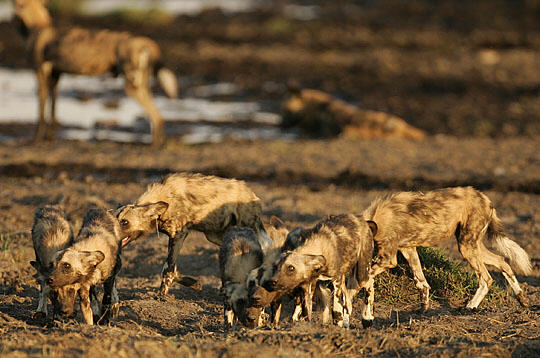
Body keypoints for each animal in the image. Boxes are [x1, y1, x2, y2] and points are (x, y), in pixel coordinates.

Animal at [11, 0, 178, 146]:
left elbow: (41, 110)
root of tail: (143, 41)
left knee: (156, 115)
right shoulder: (56, 75)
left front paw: (37, 139)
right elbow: (53, 110)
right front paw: (50, 138)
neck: (36, 25)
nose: (13, 18)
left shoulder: (40, 72)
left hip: (132, 86)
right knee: (159, 116)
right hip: (140, 84)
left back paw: (155, 145)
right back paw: (158, 144)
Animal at [116, 173, 272, 296]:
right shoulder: (176, 238)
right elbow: (172, 269)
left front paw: (161, 295)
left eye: (125, 222)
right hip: (215, 235)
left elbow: (167, 269)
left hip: (247, 228)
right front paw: (194, 283)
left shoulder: (178, 235)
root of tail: (251, 192)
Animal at [364, 186, 532, 312]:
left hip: (466, 246)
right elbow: (421, 283)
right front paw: (424, 308)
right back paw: (521, 298)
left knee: (486, 278)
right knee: (502, 261)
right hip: (473, 246)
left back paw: (470, 307)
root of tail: (485, 198)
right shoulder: (408, 249)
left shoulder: (388, 259)